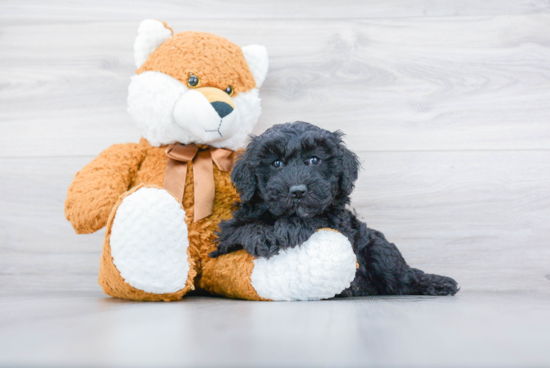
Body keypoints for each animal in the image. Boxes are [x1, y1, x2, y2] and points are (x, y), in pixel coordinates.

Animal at [212, 122, 462, 298]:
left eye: (314, 160)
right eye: (276, 164)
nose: (298, 191)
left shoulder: (339, 222)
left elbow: (316, 218)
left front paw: (288, 229)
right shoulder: (226, 235)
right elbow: (242, 229)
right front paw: (264, 235)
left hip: (378, 247)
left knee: (401, 278)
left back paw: (435, 283)